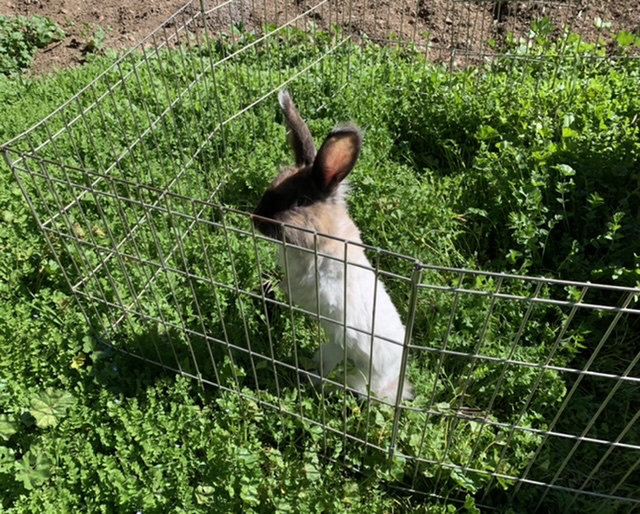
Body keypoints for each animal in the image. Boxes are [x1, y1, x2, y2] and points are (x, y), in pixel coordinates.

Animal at [252, 90, 413, 403]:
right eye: (274, 183)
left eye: (300, 201)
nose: (255, 219)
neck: (322, 239)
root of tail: (393, 382)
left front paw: (268, 287)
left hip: (351, 363)